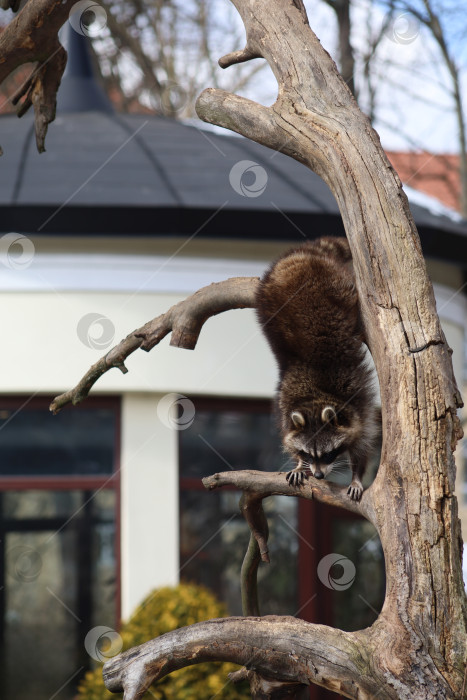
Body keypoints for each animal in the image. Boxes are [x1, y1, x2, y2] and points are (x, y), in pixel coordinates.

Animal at [258, 238, 378, 500]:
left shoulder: (358, 402)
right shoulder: (284, 404)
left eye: (329, 454)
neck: (315, 397)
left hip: (335, 281)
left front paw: (356, 476)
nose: (320, 475)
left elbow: (363, 441)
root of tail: (301, 255)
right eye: (308, 454)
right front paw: (298, 465)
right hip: (267, 293)